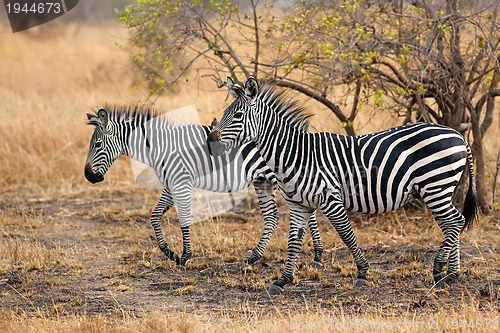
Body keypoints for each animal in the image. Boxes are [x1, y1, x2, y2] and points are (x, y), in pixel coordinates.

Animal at [82, 105, 324, 268]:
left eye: (98, 144)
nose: (88, 176)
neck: (161, 148)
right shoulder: (171, 185)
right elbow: (155, 215)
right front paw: (169, 252)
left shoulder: (181, 183)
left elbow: (184, 219)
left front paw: (185, 256)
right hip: (262, 180)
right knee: (273, 216)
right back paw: (255, 257)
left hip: (282, 178)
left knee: (307, 212)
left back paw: (318, 256)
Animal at [206, 77, 476, 294]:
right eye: (225, 113)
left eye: (238, 116)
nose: (210, 140)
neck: (296, 154)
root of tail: (458, 135)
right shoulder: (298, 205)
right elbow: (293, 242)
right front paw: (282, 280)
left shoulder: (330, 200)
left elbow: (347, 235)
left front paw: (362, 274)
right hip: (438, 189)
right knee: (452, 223)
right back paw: (452, 274)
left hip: (435, 186)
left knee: (456, 221)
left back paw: (439, 270)